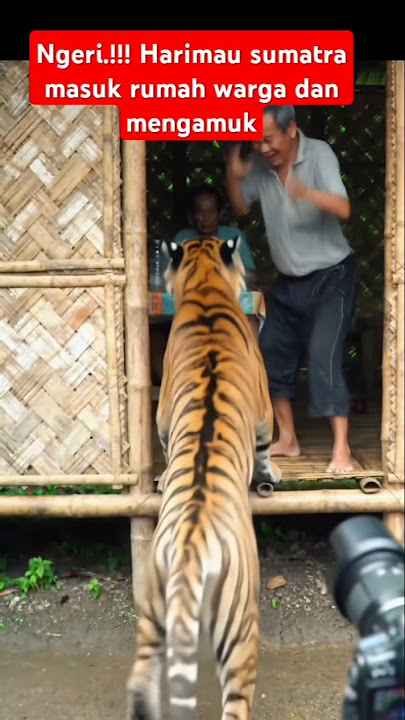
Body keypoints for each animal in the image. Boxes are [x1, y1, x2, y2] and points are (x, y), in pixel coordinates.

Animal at [126, 236, 282, 720]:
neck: (205, 282)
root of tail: (191, 549)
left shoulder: (160, 417)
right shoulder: (265, 412)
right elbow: (265, 448)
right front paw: (271, 475)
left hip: (152, 621)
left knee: (140, 687)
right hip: (242, 630)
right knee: (236, 706)